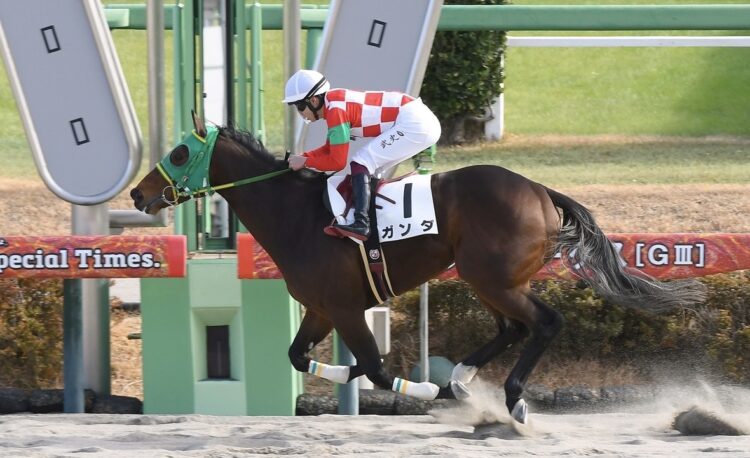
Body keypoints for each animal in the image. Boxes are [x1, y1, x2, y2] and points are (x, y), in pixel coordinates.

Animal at [130, 112, 705, 423]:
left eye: (178, 152)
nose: (137, 195)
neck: (296, 214)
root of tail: (541, 190)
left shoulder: (344, 307)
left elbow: (378, 367)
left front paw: (421, 390)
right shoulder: (323, 307)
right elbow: (302, 356)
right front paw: (354, 376)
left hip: (490, 275)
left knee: (544, 322)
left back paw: (510, 397)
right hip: (488, 278)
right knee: (512, 327)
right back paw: (464, 379)